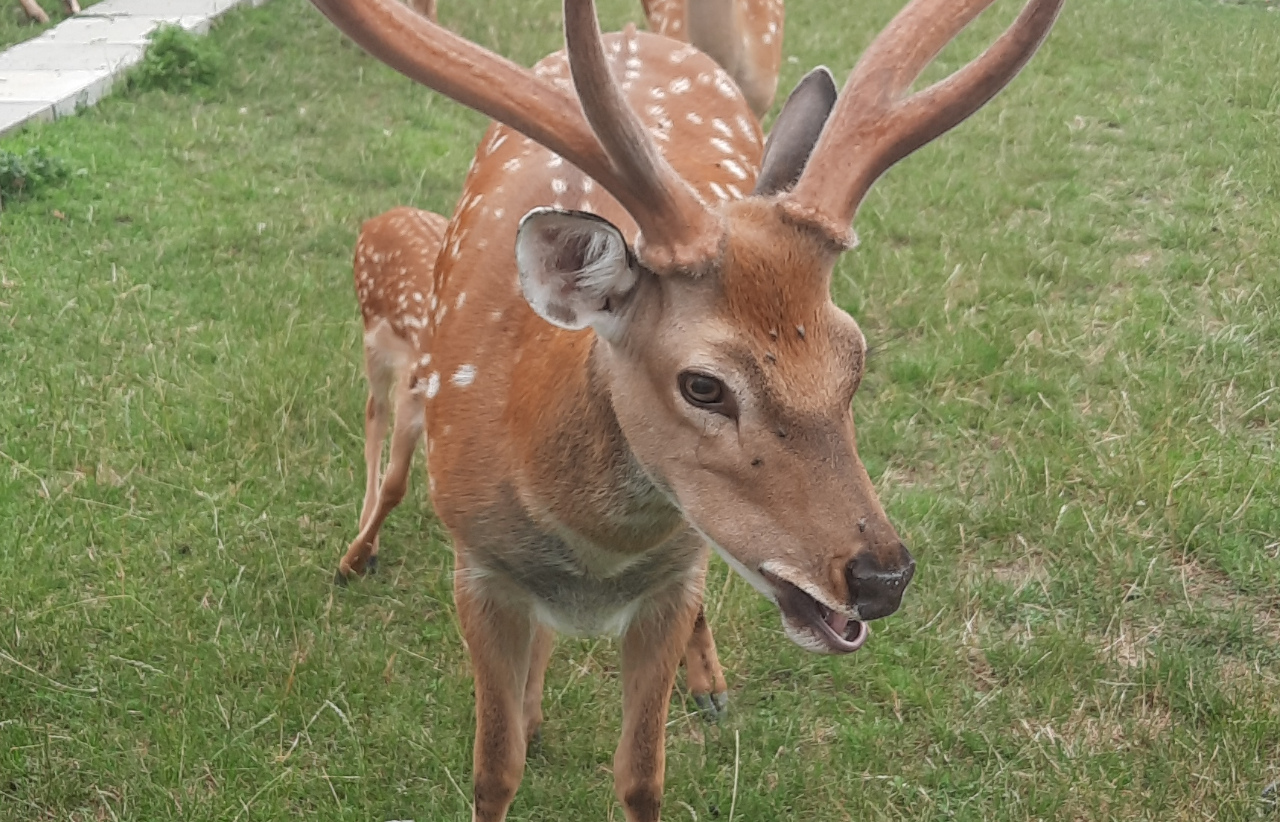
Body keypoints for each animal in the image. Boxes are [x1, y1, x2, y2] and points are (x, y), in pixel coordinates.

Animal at [307, 0, 1059, 814]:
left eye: (856, 356)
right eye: (703, 385)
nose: (882, 578)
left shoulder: (671, 581)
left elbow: (641, 776)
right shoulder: (477, 568)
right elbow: (494, 768)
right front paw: (520, 727)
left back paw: (708, 688)